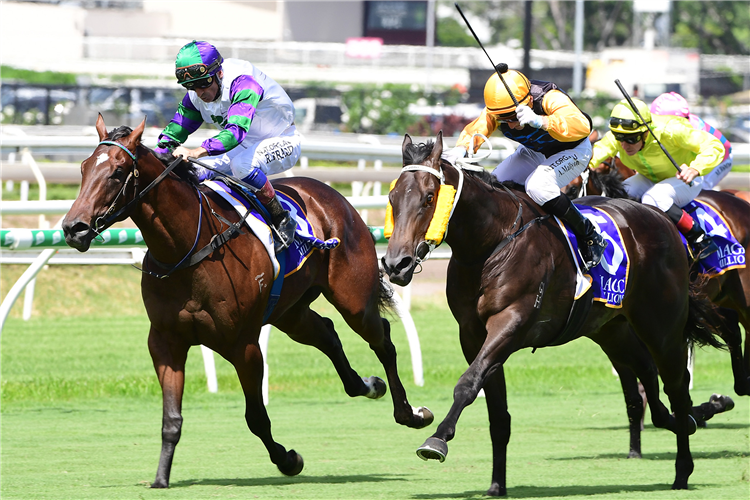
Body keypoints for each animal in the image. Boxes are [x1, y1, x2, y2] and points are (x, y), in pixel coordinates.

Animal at [62, 116, 434, 488]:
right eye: (83, 168)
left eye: (117, 171)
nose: (73, 228)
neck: (188, 247)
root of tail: (333, 196)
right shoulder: (166, 342)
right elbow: (171, 419)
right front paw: (160, 477)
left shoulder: (243, 344)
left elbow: (256, 416)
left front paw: (288, 460)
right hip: (290, 312)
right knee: (327, 333)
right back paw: (368, 385)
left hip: (353, 301)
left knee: (382, 339)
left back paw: (411, 412)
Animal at [382, 131, 728, 494]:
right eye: (392, 197)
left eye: (429, 197)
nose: (395, 264)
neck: (491, 244)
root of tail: (661, 218)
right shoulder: (472, 334)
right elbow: (497, 413)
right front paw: (496, 485)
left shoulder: (512, 323)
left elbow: (467, 383)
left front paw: (436, 440)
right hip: (611, 329)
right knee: (647, 373)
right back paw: (691, 417)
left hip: (661, 325)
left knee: (677, 385)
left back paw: (684, 465)